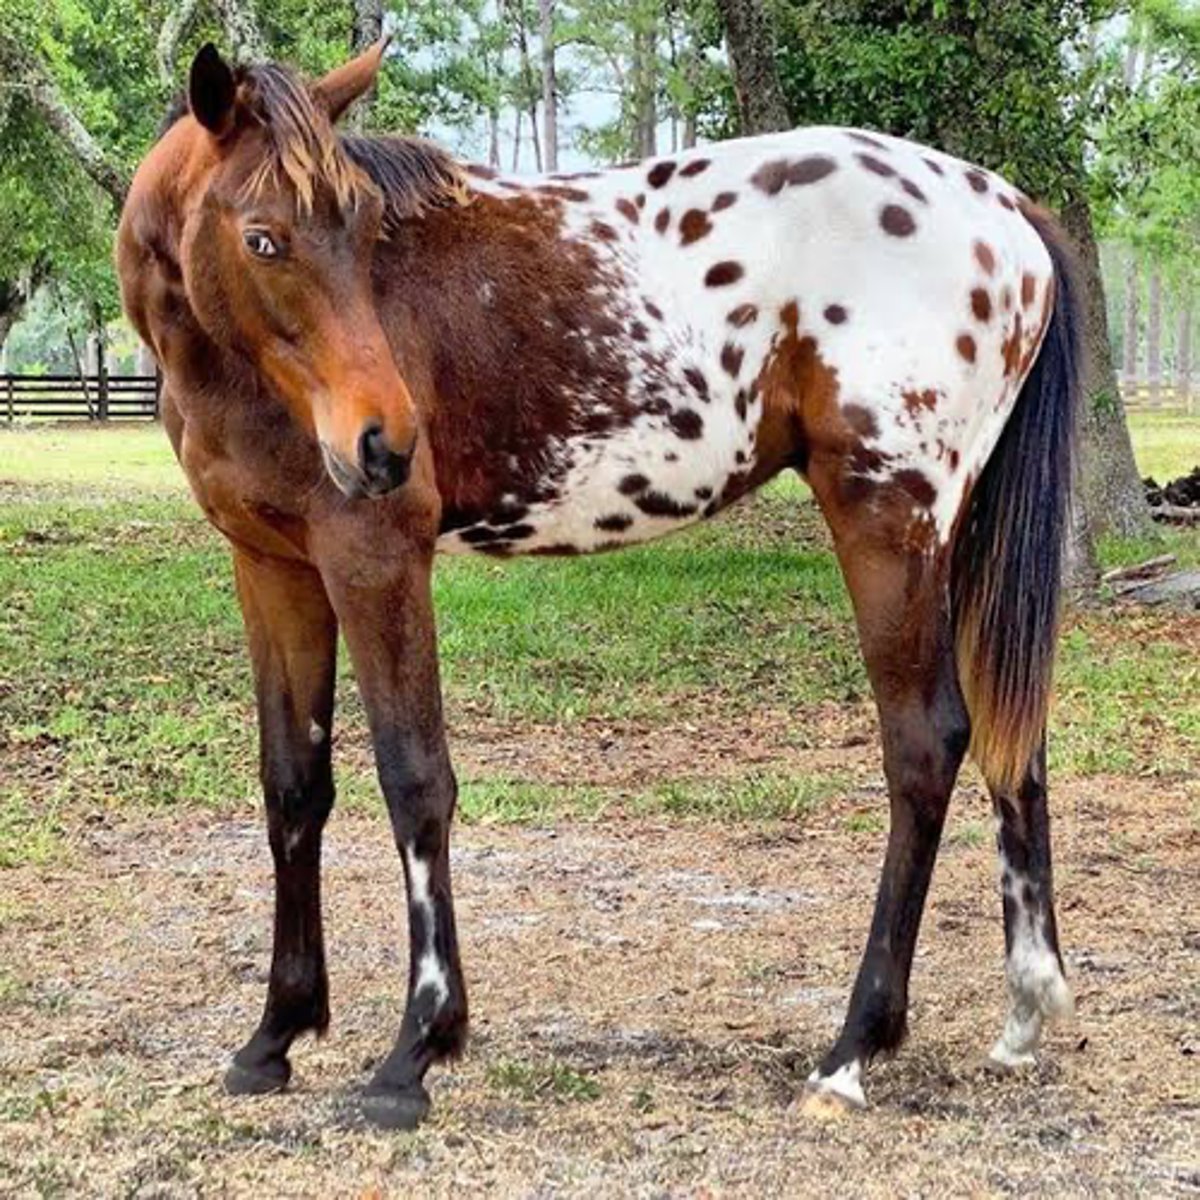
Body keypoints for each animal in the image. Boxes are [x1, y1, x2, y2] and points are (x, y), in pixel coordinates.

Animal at [116, 40, 1081, 1129]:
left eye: (362, 229)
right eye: (264, 238)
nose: (385, 443)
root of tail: (1006, 209)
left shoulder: (373, 558)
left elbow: (414, 780)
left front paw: (416, 1049)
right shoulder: (274, 569)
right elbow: (293, 786)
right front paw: (274, 1036)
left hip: (887, 524)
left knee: (925, 745)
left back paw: (851, 1050)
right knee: (1009, 734)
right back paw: (1024, 1010)